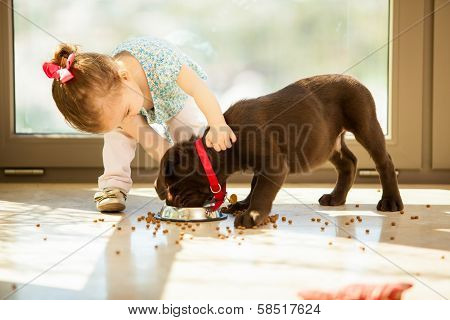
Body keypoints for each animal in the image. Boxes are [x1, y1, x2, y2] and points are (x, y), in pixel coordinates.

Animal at [156, 74, 404, 228]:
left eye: (174, 187)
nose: (171, 202)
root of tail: (356, 79)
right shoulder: (261, 166)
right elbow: (254, 184)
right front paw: (244, 204)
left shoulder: (272, 165)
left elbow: (262, 191)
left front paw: (252, 214)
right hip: (327, 143)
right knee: (349, 162)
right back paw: (336, 197)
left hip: (365, 123)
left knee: (384, 161)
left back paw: (391, 201)